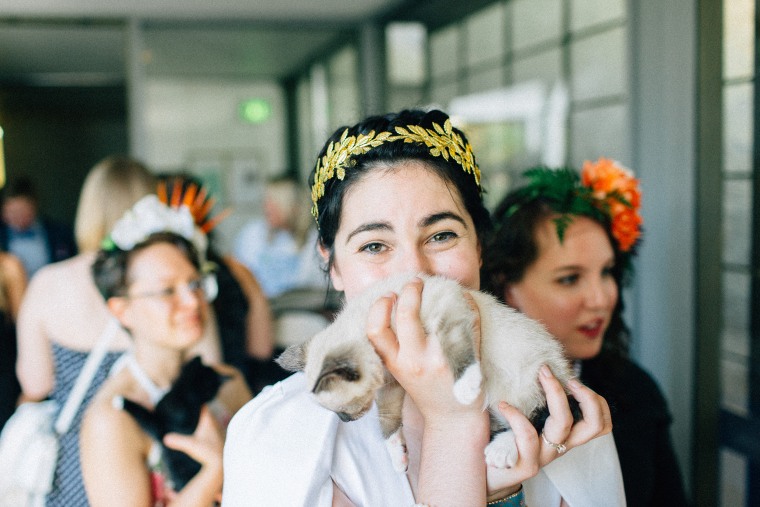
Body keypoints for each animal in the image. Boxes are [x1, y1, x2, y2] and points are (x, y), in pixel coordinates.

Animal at [280, 274, 576, 472]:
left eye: (342, 409)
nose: (345, 420)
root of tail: (564, 369)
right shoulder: (392, 382)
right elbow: (387, 420)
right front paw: (397, 458)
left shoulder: (448, 309)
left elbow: (456, 347)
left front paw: (466, 385)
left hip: (517, 386)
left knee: (534, 418)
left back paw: (499, 450)